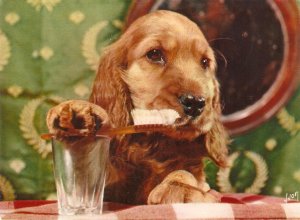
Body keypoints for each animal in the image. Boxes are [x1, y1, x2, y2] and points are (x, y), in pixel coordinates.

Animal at [47, 10, 229, 205]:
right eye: (155, 54)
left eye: (205, 62)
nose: (195, 102)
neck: (153, 143)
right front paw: (78, 114)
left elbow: (185, 173)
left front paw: (180, 189)